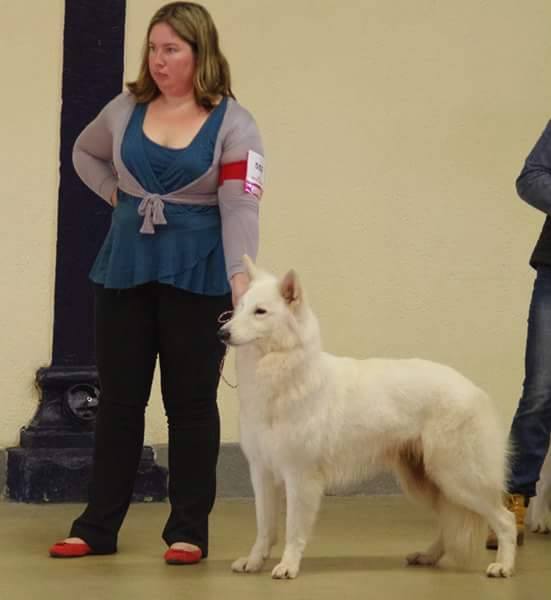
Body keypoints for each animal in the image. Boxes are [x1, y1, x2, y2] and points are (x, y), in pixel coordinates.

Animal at [220, 256, 516, 576]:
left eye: (260, 312)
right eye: (239, 308)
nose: (222, 332)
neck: (282, 373)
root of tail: (475, 390)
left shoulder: (300, 476)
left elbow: (293, 530)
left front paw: (288, 565)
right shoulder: (262, 472)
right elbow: (264, 528)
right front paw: (254, 561)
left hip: (458, 478)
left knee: (506, 520)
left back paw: (503, 565)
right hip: (429, 482)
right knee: (448, 526)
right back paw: (428, 556)